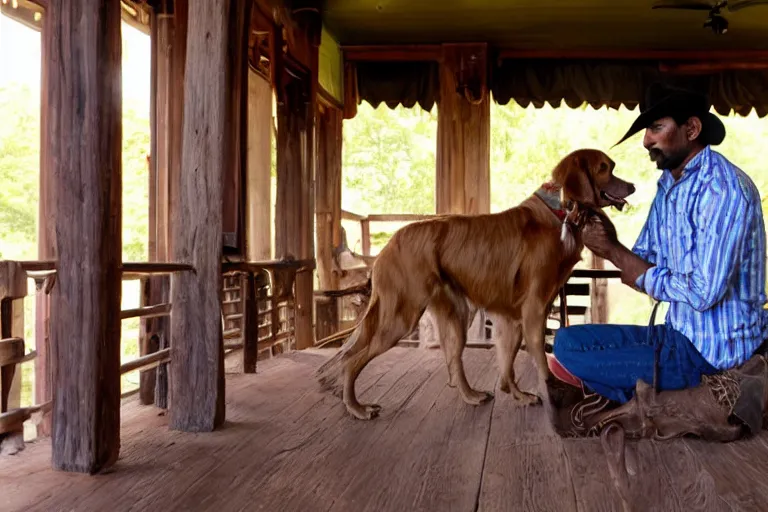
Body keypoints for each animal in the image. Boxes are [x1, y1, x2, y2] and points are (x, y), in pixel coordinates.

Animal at [316, 149, 632, 420]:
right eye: (605, 168)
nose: (632, 187)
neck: (560, 212)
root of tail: (388, 246)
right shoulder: (534, 309)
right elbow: (540, 358)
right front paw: (552, 391)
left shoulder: (512, 317)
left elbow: (507, 365)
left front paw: (517, 395)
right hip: (401, 317)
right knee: (351, 361)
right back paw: (357, 408)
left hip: (456, 317)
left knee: (454, 364)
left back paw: (471, 396)